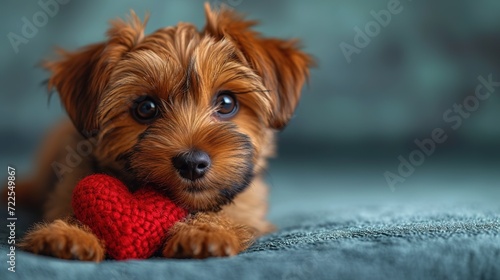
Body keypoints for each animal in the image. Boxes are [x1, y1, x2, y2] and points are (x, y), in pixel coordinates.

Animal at [16, 3, 312, 262]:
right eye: (146, 108)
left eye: (227, 103)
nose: (192, 163)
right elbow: (72, 208)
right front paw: (69, 233)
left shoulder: (247, 203)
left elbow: (231, 212)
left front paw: (205, 231)